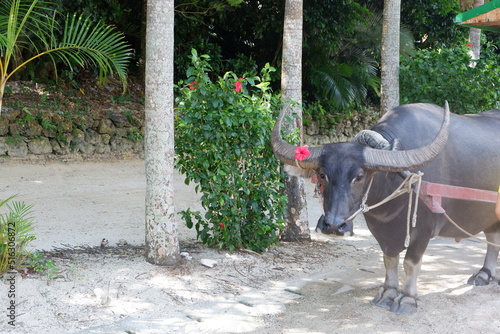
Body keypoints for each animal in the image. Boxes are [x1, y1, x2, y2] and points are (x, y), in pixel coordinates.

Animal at [272, 102, 500, 316]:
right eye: (322, 175)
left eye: (359, 176)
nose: (334, 226)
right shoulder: (381, 230)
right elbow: (389, 260)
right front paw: (388, 294)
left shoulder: (423, 231)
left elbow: (410, 263)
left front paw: (407, 299)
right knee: (493, 238)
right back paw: (485, 274)